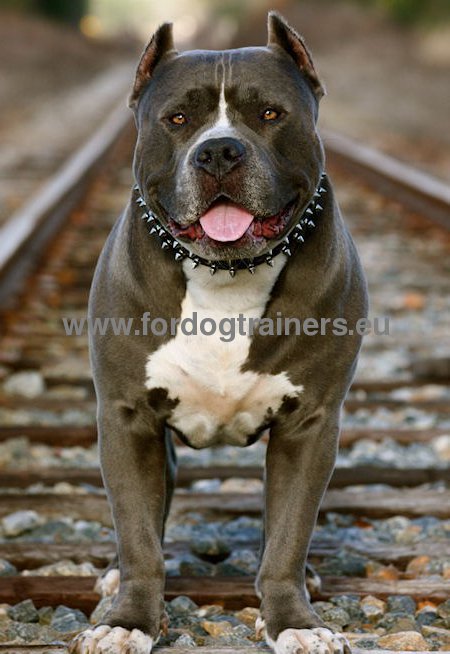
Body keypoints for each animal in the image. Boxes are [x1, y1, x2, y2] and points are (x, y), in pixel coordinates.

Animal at [69, 12, 366, 654]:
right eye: (178, 119)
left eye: (271, 114)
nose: (219, 151)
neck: (226, 276)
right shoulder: (128, 418)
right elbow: (139, 535)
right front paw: (129, 621)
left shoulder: (311, 425)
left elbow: (287, 535)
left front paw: (293, 620)